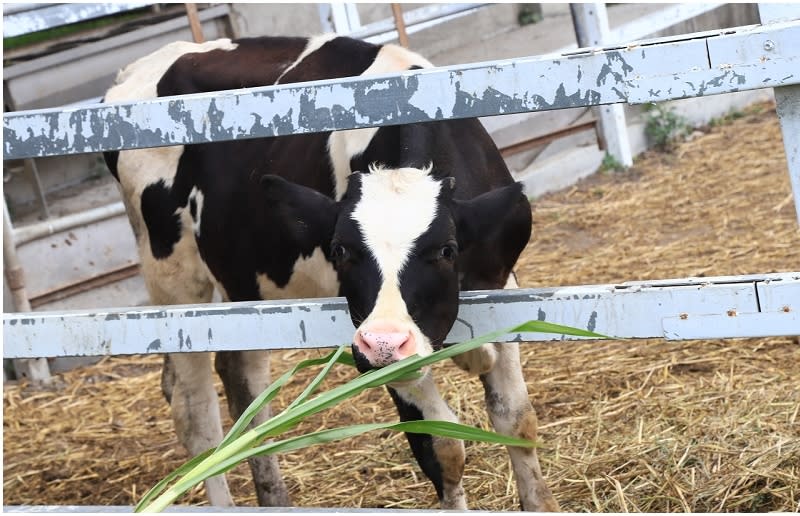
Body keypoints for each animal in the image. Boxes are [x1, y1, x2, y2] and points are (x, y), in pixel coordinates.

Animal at [104, 34, 556, 510]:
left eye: (447, 250)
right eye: (340, 252)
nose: (384, 343)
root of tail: (140, 67)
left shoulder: (503, 291)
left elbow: (517, 421)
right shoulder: (378, 348)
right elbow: (443, 448)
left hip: (243, 287)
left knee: (243, 381)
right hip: (172, 280)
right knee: (194, 411)